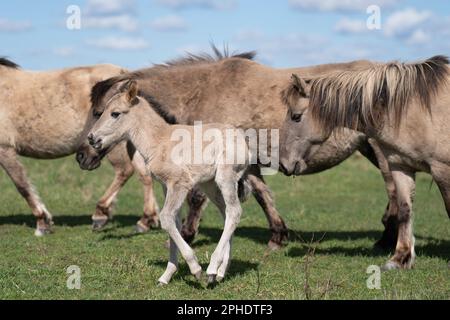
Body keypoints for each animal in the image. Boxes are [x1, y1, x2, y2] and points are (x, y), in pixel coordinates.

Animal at [0, 57, 160, 235]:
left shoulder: (4, 149)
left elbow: (22, 185)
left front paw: (43, 223)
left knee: (125, 170)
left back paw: (102, 214)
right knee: (144, 173)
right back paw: (148, 218)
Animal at [76, 47, 400, 249]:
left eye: (104, 112)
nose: (82, 154)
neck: (206, 90)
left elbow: (197, 198)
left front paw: (186, 235)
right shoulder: (247, 161)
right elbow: (261, 194)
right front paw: (277, 236)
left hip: (381, 152)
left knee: (395, 191)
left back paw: (388, 238)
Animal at [88, 80, 250, 284]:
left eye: (115, 113)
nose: (92, 138)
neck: (159, 141)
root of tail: (243, 140)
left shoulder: (179, 184)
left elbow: (165, 218)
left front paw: (195, 268)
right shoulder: (166, 186)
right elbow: (174, 222)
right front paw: (166, 276)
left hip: (225, 177)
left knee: (234, 212)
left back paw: (212, 268)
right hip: (210, 185)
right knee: (226, 213)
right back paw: (220, 272)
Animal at [280, 55, 448, 270]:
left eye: (296, 116)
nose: (283, 164)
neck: (415, 110)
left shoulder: (442, 170)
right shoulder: (400, 166)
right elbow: (404, 210)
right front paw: (399, 259)